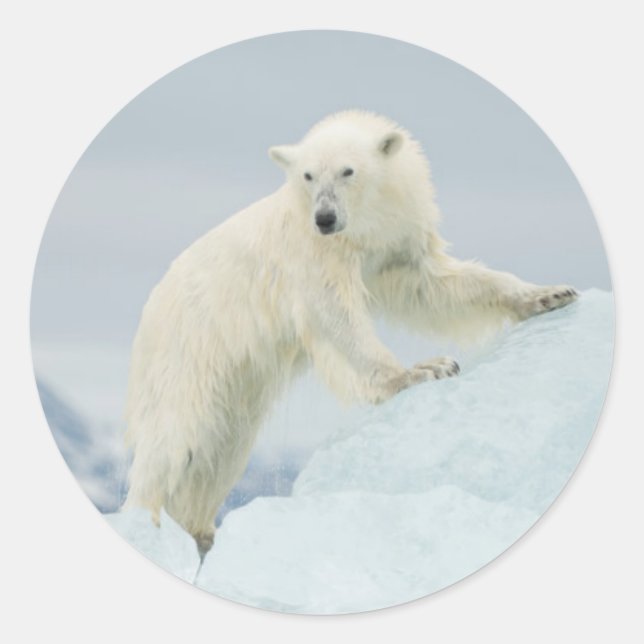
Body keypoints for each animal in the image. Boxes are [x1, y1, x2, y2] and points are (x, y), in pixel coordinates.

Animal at [123, 110, 577, 558]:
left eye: (348, 170)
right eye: (308, 175)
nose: (325, 218)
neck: (362, 226)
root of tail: (148, 313)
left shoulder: (396, 241)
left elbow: (435, 285)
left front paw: (548, 294)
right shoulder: (314, 252)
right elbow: (334, 314)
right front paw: (424, 369)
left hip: (238, 380)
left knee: (222, 446)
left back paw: (201, 532)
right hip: (191, 346)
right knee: (176, 437)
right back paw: (150, 526)